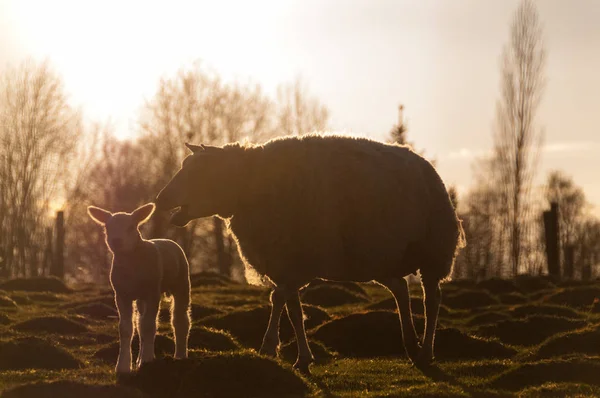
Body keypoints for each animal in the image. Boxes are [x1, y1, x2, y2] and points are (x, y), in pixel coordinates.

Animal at [85, 204, 190, 374]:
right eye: (107, 227)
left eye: (131, 227)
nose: (117, 241)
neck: (131, 265)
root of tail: (167, 240)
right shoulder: (122, 295)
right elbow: (127, 328)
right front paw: (123, 365)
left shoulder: (152, 293)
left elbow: (149, 326)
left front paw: (146, 360)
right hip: (141, 298)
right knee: (141, 322)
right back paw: (141, 357)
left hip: (181, 283)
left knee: (180, 320)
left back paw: (180, 355)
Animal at [154, 134, 464, 374]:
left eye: (200, 172)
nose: (160, 199)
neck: (249, 188)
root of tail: (426, 167)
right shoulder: (285, 260)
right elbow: (288, 305)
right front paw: (290, 353)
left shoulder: (296, 261)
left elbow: (284, 301)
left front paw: (281, 350)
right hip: (381, 257)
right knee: (400, 289)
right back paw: (411, 345)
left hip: (433, 251)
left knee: (432, 299)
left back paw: (425, 352)